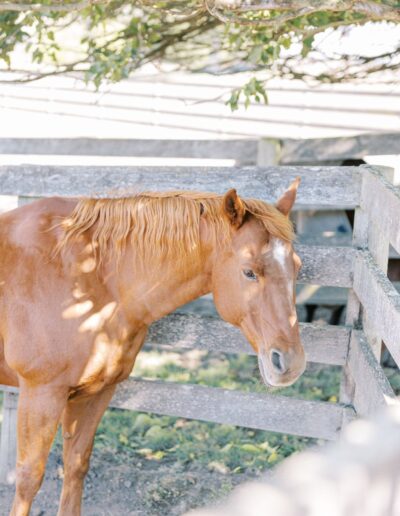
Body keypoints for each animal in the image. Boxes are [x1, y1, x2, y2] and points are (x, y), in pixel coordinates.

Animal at [0, 179, 304, 512]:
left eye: (297, 268)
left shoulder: (96, 392)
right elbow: (29, 479)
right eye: (249, 271)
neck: (87, 276)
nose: (290, 363)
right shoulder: (41, 393)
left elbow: (76, 466)